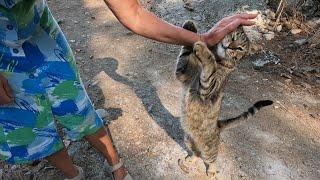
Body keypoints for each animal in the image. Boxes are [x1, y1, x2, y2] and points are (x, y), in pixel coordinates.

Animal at [175, 20, 272, 176]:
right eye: (233, 37)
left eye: (239, 48)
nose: (229, 46)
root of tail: (218, 125)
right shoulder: (183, 74)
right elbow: (184, 53)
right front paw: (190, 27)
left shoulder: (207, 90)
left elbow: (210, 66)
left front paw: (204, 51)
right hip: (188, 139)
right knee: (196, 153)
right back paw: (189, 160)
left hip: (209, 149)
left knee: (211, 159)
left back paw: (212, 171)